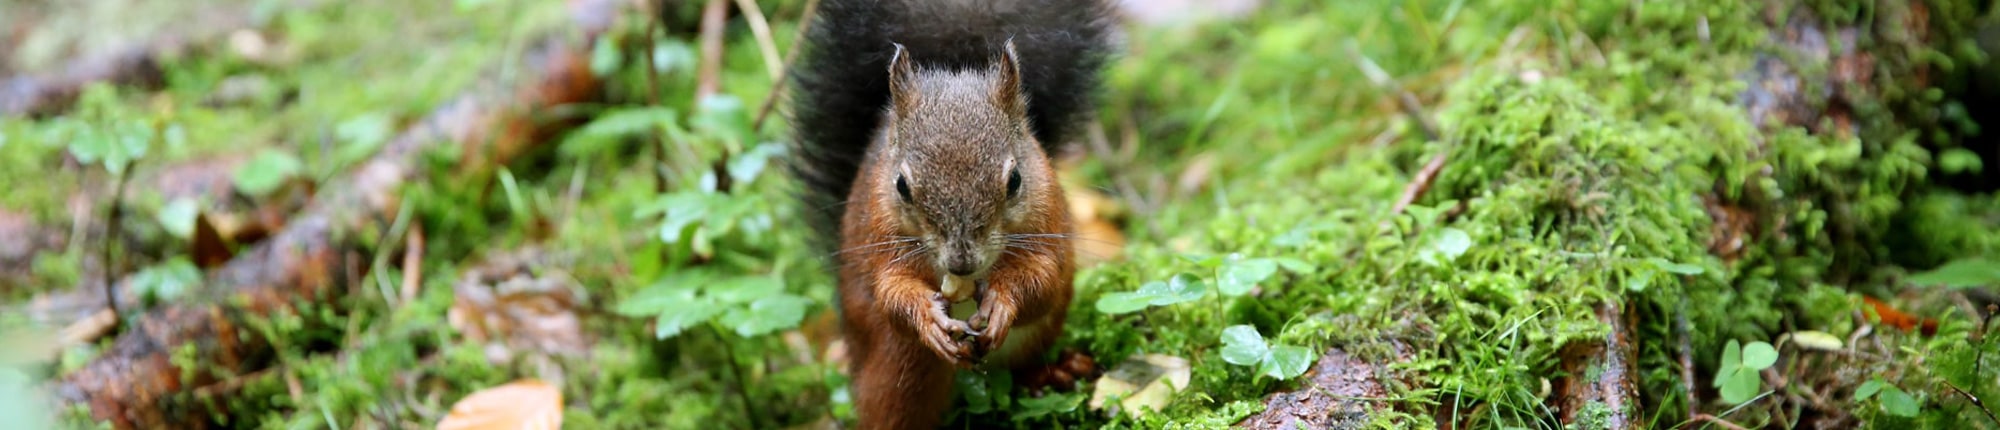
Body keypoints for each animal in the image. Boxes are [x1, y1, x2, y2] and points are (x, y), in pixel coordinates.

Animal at [784, 0, 1128, 426]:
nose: (961, 262)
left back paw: (1055, 372)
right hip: (901, 366)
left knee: (1022, 370)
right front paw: (926, 318)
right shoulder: (880, 237)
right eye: (901, 185)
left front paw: (1002, 301)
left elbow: (1042, 281)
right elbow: (891, 293)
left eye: (1015, 179)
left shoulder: (1047, 225)